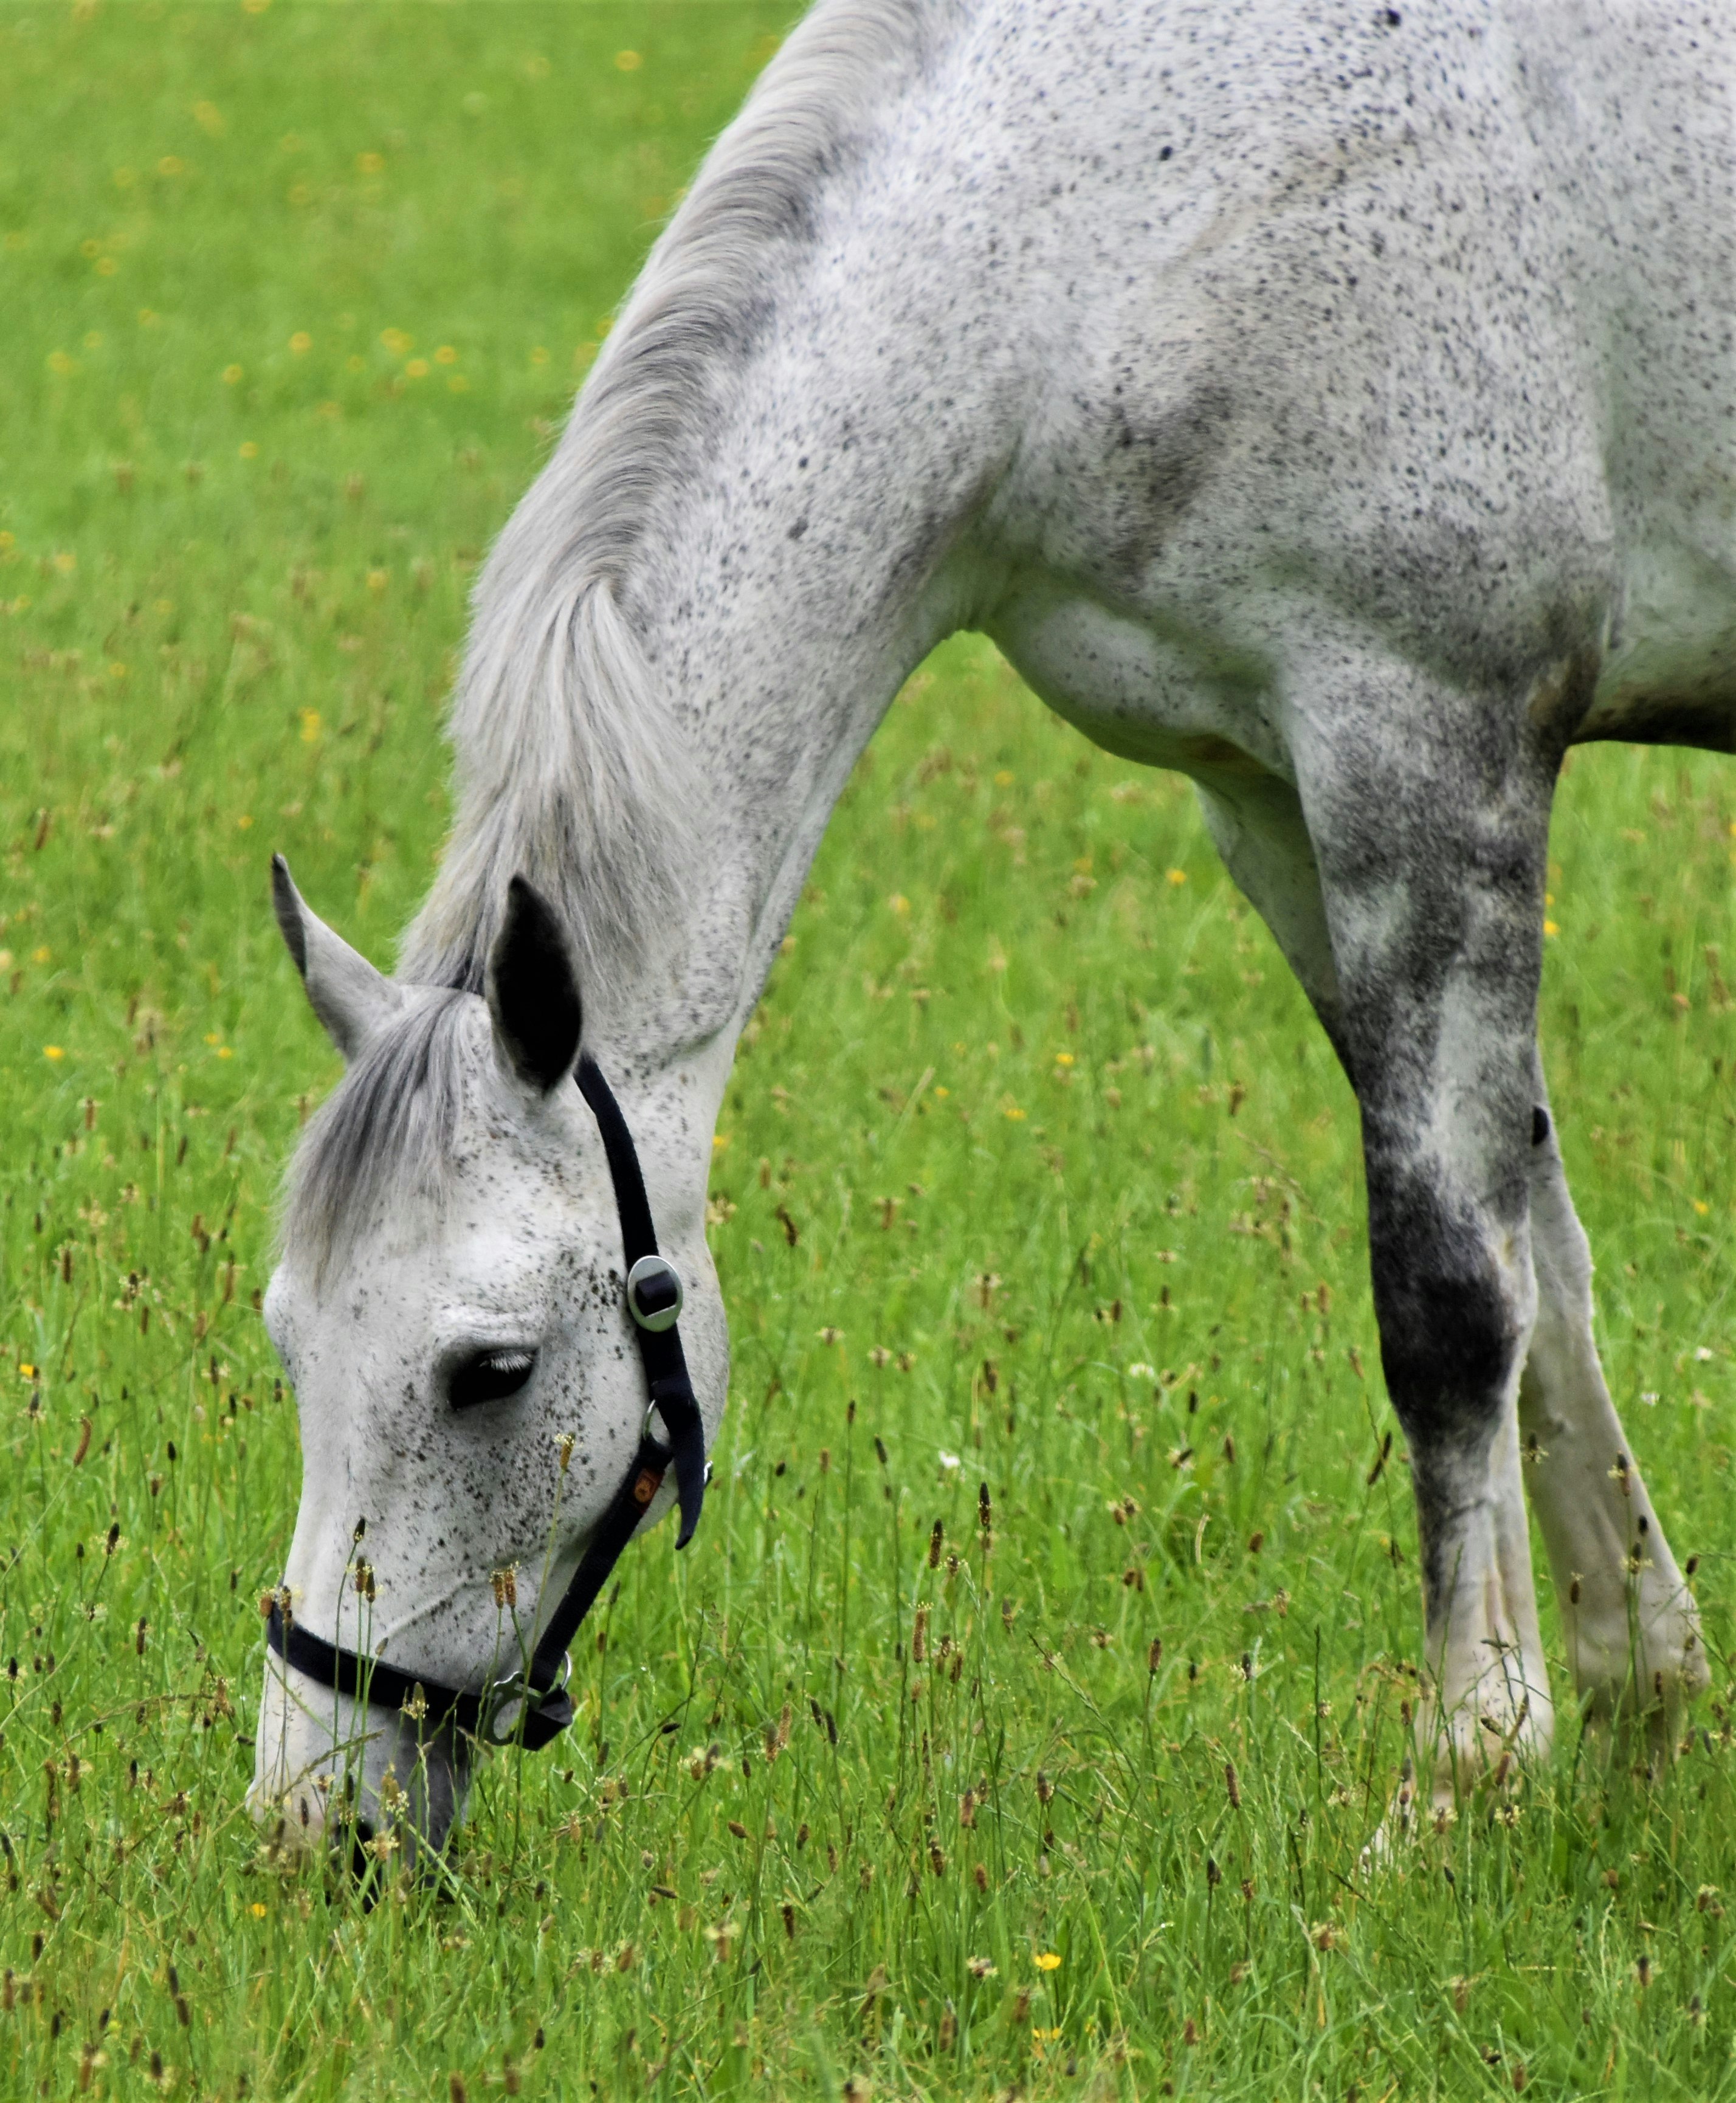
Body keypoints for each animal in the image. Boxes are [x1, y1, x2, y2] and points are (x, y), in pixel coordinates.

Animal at [250, 0, 1725, 1850]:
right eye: (291, 1335)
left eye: (490, 1369)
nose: (317, 1822)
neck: (1123, 212)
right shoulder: (1274, 803)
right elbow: (1545, 1252)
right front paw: (1636, 1698)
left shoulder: (1421, 747)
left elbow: (1452, 1295)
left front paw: (1466, 1774)